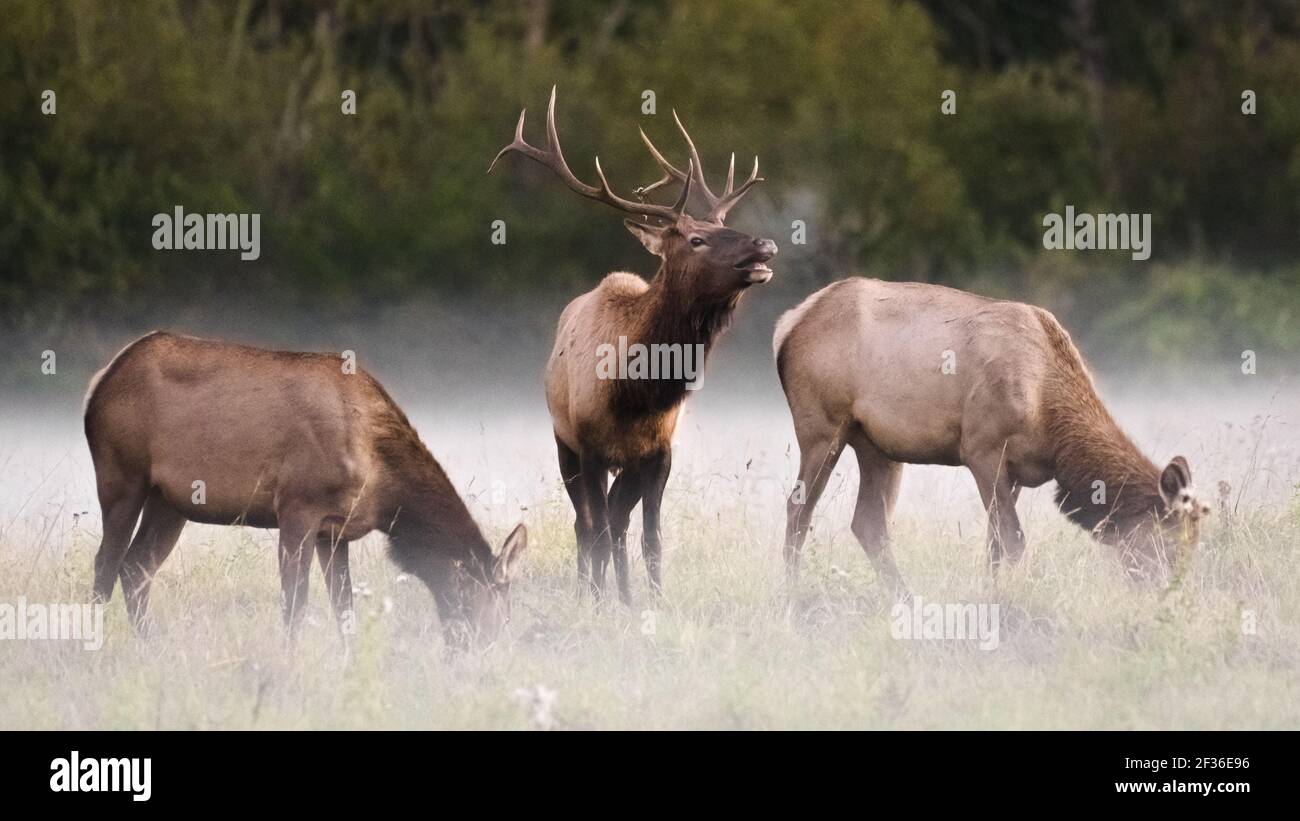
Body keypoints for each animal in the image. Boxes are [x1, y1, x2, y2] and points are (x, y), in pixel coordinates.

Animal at [83, 328, 527, 646]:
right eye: (495, 602)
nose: (487, 648)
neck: (383, 488)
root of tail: (99, 382)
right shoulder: (297, 507)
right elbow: (295, 605)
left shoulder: (335, 531)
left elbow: (344, 608)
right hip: (122, 477)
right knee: (105, 565)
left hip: (170, 502)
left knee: (136, 567)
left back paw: (150, 646)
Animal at [486, 88, 769, 602]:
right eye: (696, 239)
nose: (765, 245)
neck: (635, 394)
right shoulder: (589, 447)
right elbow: (595, 531)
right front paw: (597, 604)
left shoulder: (659, 452)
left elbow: (650, 537)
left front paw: (652, 602)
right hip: (564, 443)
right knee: (586, 525)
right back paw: (592, 592)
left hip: (628, 467)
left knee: (618, 522)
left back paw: (624, 596)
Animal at [769, 279, 1206, 592]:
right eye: (1169, 544)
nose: (1174, 594)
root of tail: (787, 324)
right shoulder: (982, 449)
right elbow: (1013, 542)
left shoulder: (1015, 472)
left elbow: (994, 546)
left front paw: (993, 596)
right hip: (822, 427)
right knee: (798, 510)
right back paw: (793, 597)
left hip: (877, 445)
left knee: (869, 524)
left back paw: (904, 599)